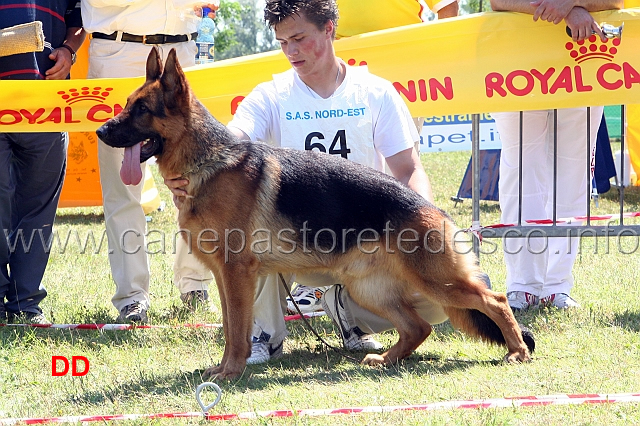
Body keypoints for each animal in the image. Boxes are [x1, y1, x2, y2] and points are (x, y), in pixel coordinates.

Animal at [96, 48, 536, 382]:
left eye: (141, 110)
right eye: (126, 106)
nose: (101, 131)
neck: (207, 162)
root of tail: (431, 208)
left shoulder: (237, 272)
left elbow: (237, 331)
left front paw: (231, 372)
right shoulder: (225, 276)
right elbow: (231, 327)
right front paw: (224, 368)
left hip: (437, 282)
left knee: (494, 301)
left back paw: (517, 351)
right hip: (370, 288)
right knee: (419, 326)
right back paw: (387, 360)